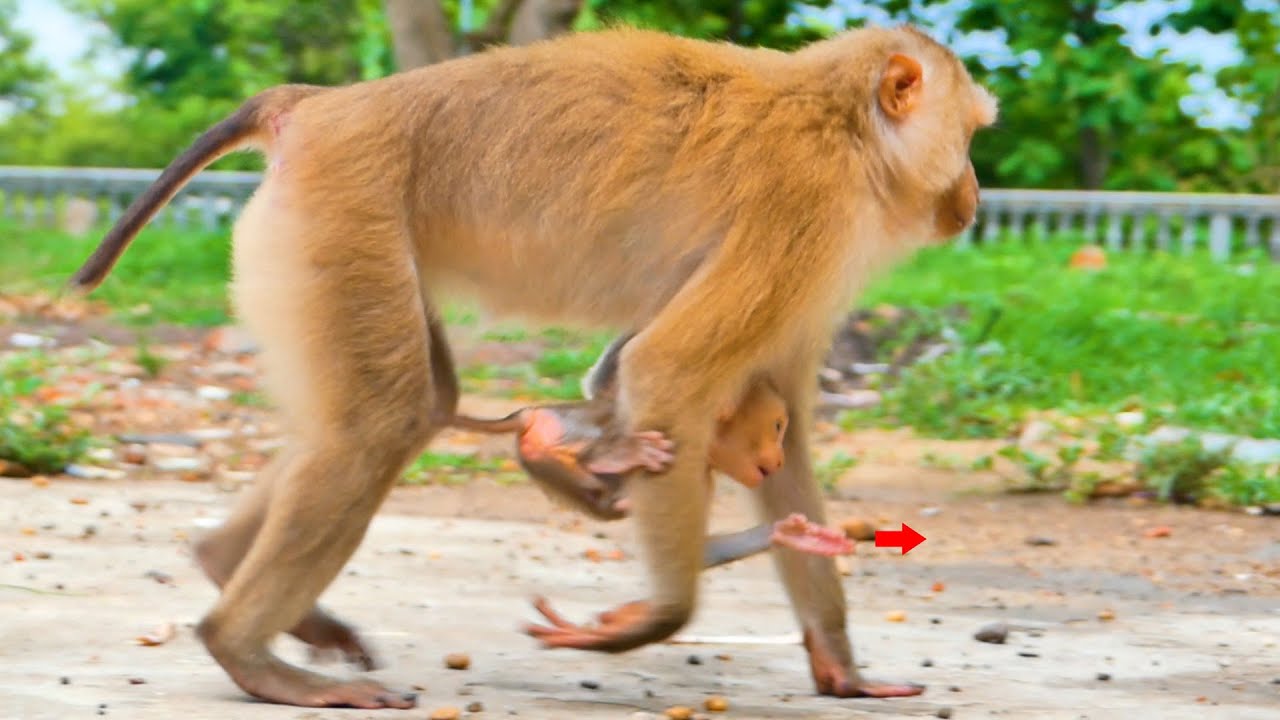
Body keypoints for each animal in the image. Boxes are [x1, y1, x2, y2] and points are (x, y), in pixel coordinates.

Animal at [67, 25, 994, 709]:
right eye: (973, 134)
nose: (975, 196)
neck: (847, 124)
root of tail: (318, 105)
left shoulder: (821, 257)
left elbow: (785, 424)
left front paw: (840, 662)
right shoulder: (807, 205)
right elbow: (670, 368)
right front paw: (653, 618)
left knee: (412, 406)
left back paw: (228, 570)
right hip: (340, 209)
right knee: (380, 423)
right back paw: (243, 650)